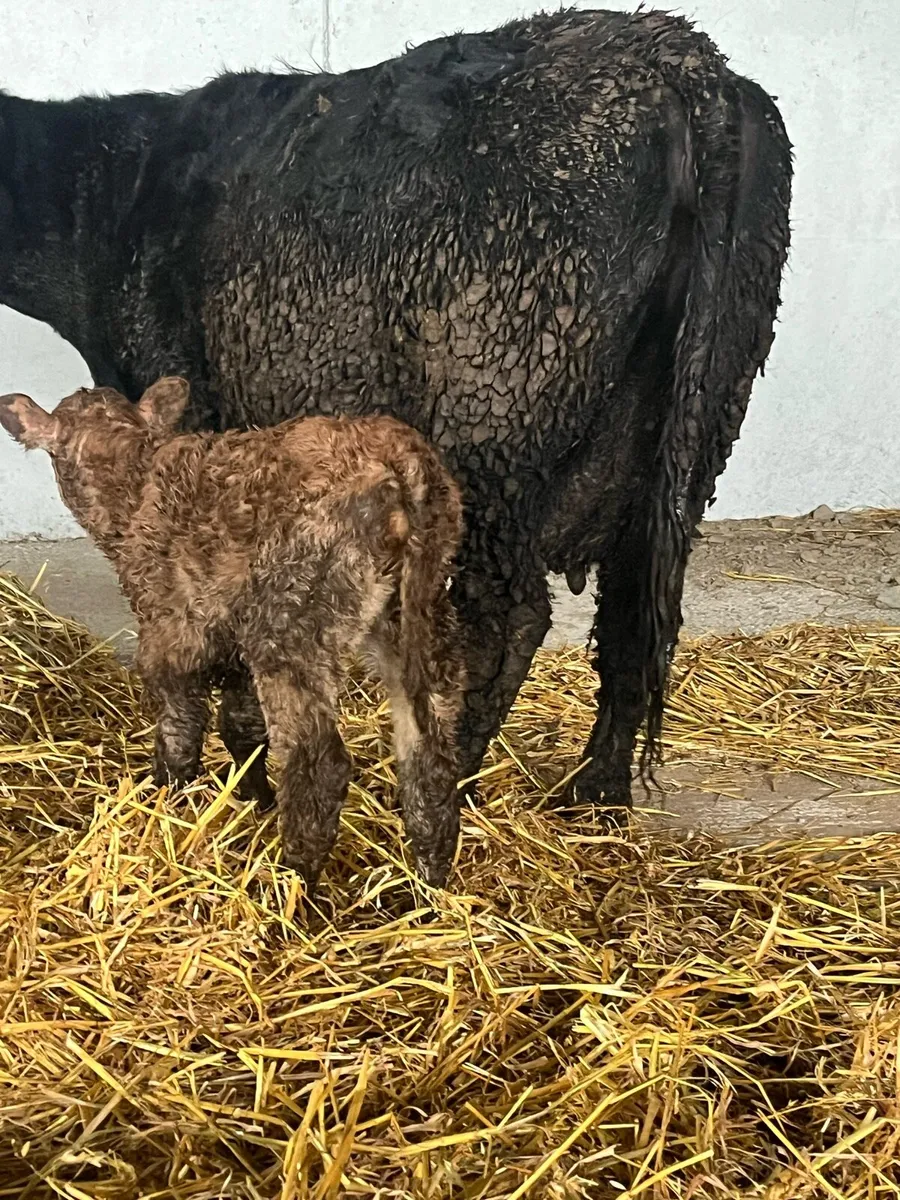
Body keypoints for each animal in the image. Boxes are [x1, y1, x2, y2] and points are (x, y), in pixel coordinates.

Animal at [0, 8, 792, 814]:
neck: (115, 195)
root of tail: (679, 61)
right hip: (691, 438)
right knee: (635, 616)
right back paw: (594, 795)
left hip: (493, 425)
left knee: (510, 621)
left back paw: (447, 783)